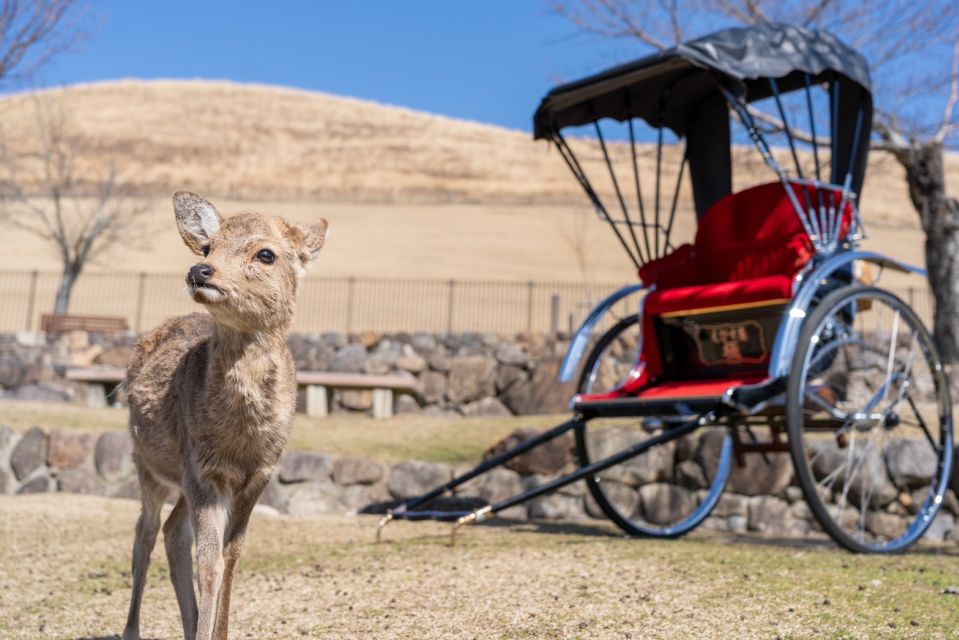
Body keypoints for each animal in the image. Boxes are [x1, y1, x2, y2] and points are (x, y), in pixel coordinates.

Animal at [122, 191, 330, 640]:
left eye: (266, 253)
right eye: (207, 247)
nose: (200, 270)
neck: (240, 440)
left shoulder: (259, 475)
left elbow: (231, 557)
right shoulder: (205, 472)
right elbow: (210, 562)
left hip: (181, 479)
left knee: (172, 532)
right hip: (148, 463)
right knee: (145, 533)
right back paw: (132, 630)